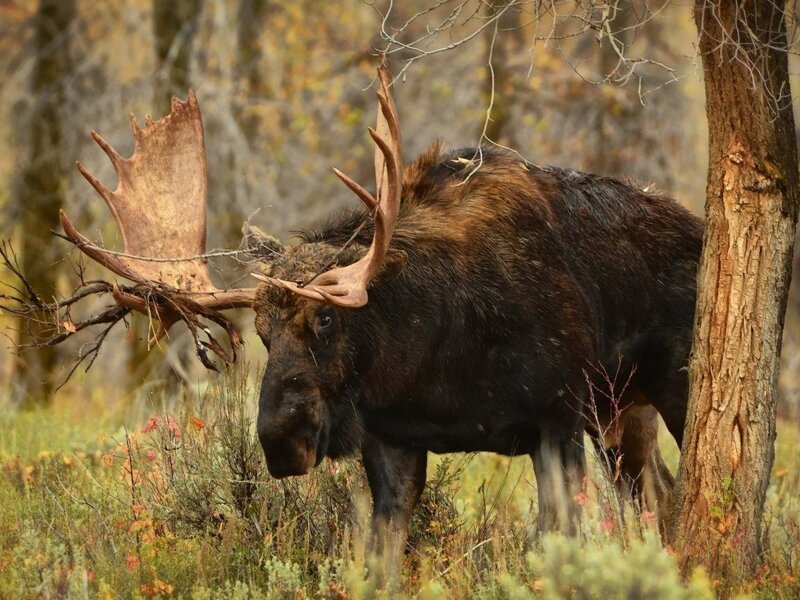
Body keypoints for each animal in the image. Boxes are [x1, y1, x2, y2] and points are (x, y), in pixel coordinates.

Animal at [15, 61, 700, 564]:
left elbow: (556, 542)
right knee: (664, 495)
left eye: (326, 319)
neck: (436, 359)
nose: (282, 439)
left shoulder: (554, 419)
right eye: (261, 333)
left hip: (666, 391)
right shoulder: (393, 440)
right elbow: (381, 557)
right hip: (621, 412)